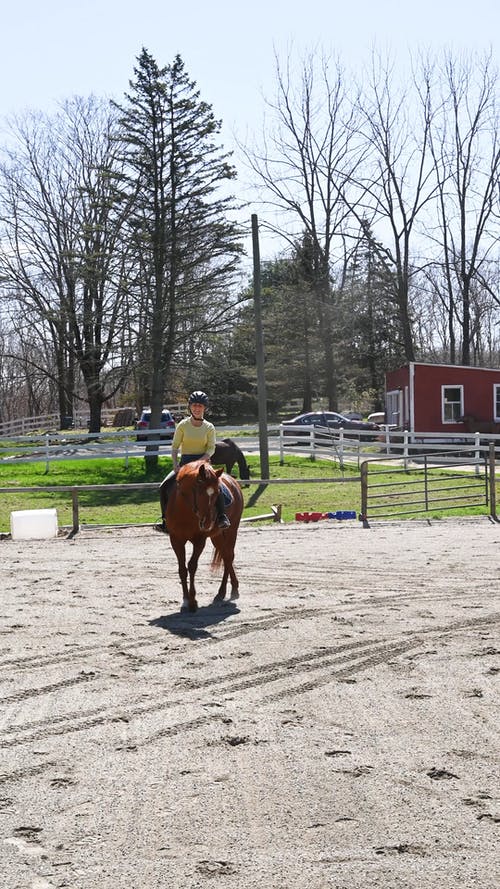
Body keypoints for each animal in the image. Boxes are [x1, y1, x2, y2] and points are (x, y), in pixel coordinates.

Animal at [167, 458, 243, 612]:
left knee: (228, 557)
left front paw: (192, 601)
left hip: (232, 531)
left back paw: (224, 592)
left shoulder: (199, 540)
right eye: (199, 492)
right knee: (226, 556)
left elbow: (192, 566)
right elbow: (182, 569)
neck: (185, 511)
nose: (208, 522)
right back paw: (231, 589)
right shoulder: (176, 539)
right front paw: (185, 600)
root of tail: (233, 480)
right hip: (217, 536)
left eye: (217, 493)